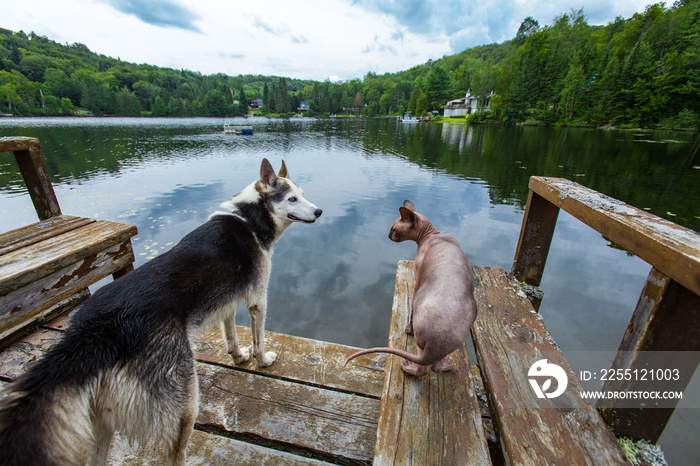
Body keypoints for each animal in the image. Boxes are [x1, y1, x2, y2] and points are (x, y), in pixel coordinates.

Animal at [0, 158, 322, 464]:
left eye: (304, 195)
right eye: (292, 199)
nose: (319, 212)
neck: (249, 219)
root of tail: (97, 327)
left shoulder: (227, 301)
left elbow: (230, 335)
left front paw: (238, 357)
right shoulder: (257, 299)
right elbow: (259, 340)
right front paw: (262, 360)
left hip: (102, 421)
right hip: (184, 406)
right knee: (173, 455)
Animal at [344, 202, 476, 376]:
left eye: (393, 229)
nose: (388, 236)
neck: (432, 234)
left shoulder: (417, 280)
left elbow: (411, 312)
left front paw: (408, 329)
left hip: (421, 325)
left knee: (424, 368)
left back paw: (409, 367)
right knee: (435, 367)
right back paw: (447, 365)